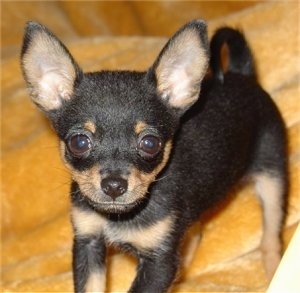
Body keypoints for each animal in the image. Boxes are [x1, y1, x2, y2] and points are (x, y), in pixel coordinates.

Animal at [21, 20, 288, 292]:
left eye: (150, 143)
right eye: (79, 142)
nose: (114, 185)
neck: (120, 217)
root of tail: (242, 74)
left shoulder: (159, 263)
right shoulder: (88, 241)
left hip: (273, 178)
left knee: (271, 235)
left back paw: (274, 271)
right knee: (196, 231)